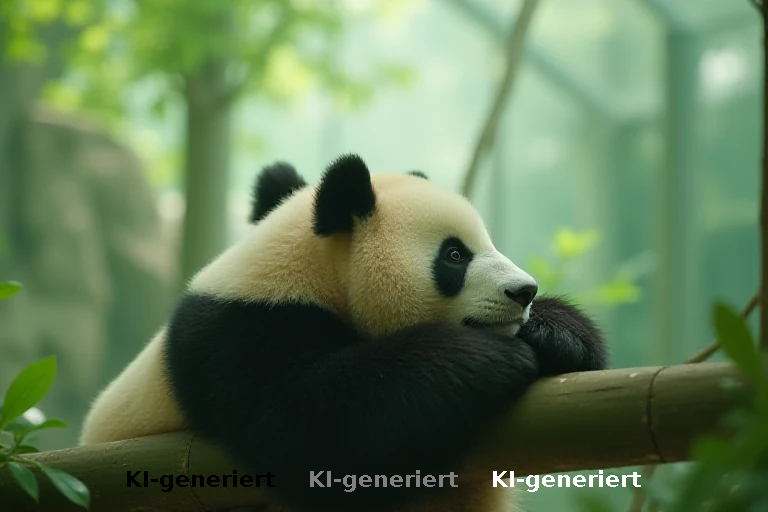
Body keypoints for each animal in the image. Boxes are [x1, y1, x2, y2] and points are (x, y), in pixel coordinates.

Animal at [80, 154, 607, 512]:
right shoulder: (237, 336)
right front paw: (484, 358)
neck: (310, 272)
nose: (524, 291)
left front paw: (554, 334)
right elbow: (312, 427)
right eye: (455, 255)